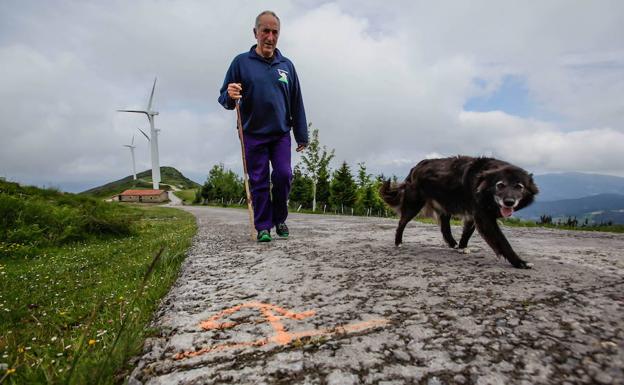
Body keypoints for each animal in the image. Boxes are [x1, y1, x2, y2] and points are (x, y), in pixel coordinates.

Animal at [378, 155, 540, 268]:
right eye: (500, 185)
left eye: (519, 186)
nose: (509, 202)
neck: (482, 183)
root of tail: (416, 166)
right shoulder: (484, 216)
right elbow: (502, 240)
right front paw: (519, 262)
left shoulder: (473, 215)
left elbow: (467, 232)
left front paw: (462, 247)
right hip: (414, 204)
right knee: (401, 223)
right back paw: (398, 242)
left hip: (443, 206)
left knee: (444, 228)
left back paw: (453, 244)